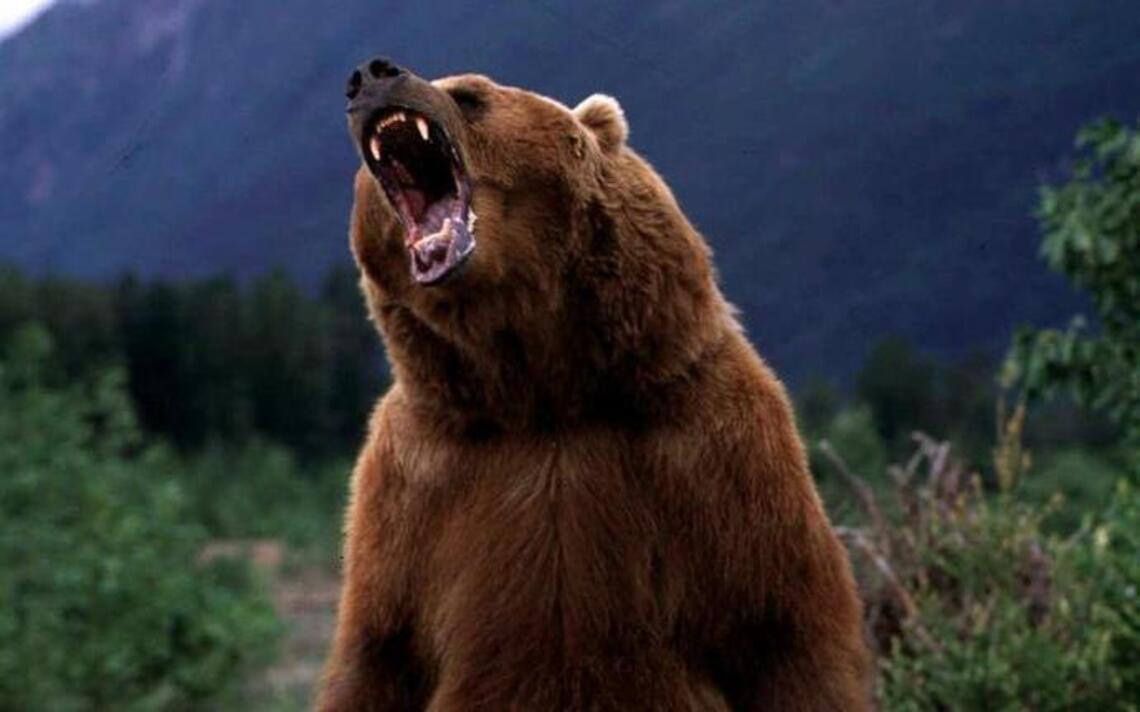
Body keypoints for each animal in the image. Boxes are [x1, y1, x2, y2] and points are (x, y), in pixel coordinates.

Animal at [319, 57, 871, 711]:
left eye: (471, 95)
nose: (371, 74)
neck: (547, 393)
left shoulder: (714, 450)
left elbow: (786, 632)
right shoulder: (410, 487)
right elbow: (379, 654)